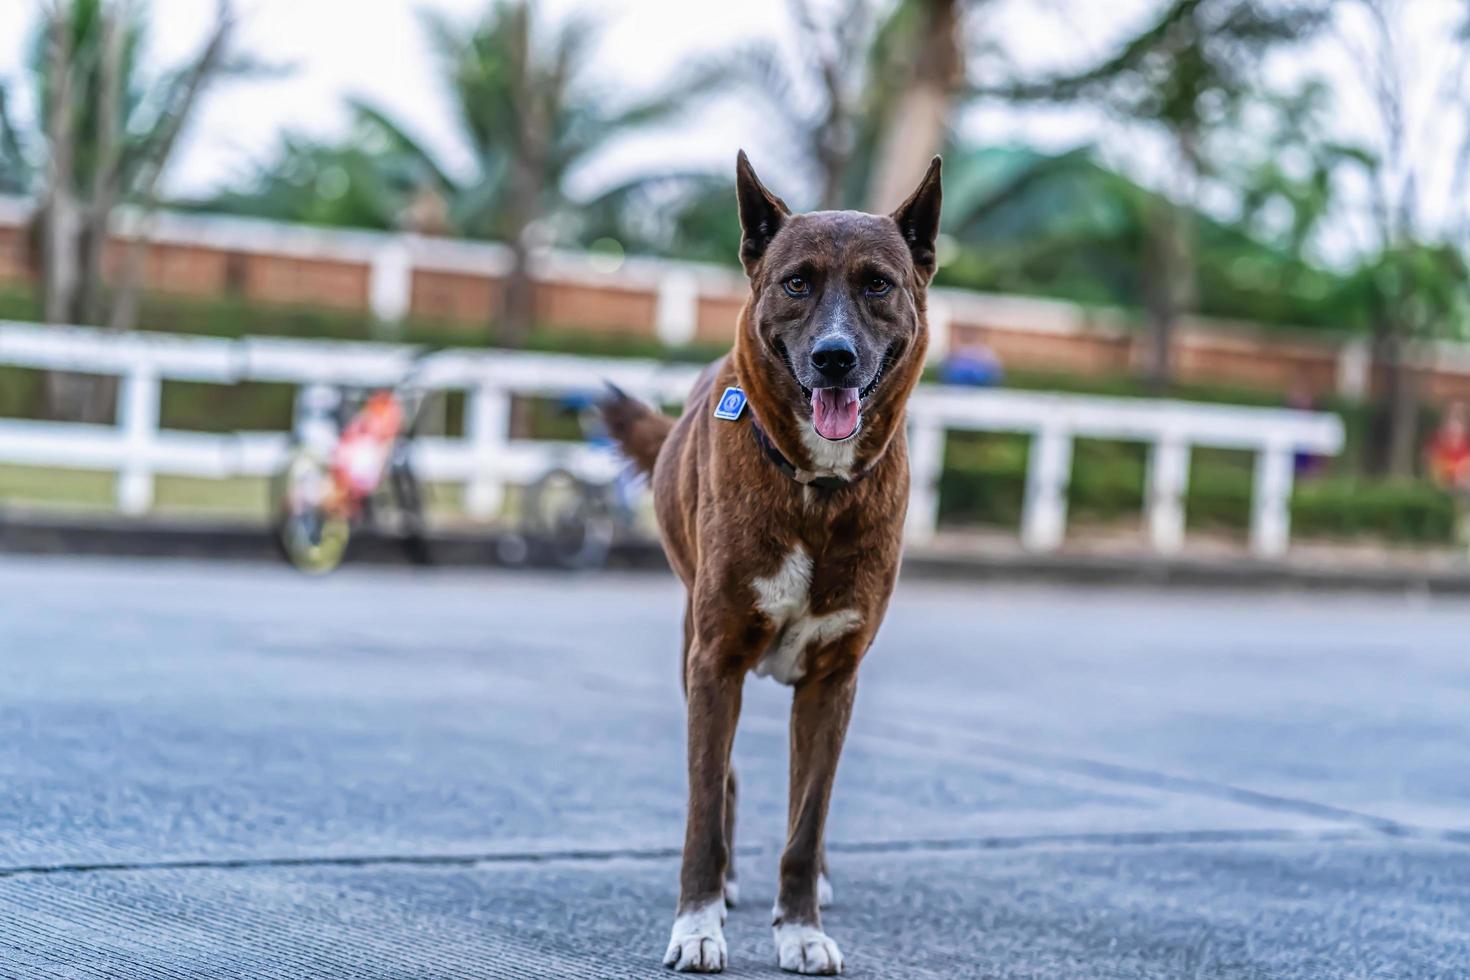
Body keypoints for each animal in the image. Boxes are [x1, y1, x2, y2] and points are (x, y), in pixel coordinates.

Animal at [605, 151, 940, 975]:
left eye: (877, 284)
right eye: (797, 282)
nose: (834, 358)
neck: (815, 487)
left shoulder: (833, 681)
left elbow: (806, 821)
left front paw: (802, 928)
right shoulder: (715, 660)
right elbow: (704, 807)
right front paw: (697, 923)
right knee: (720, 782)